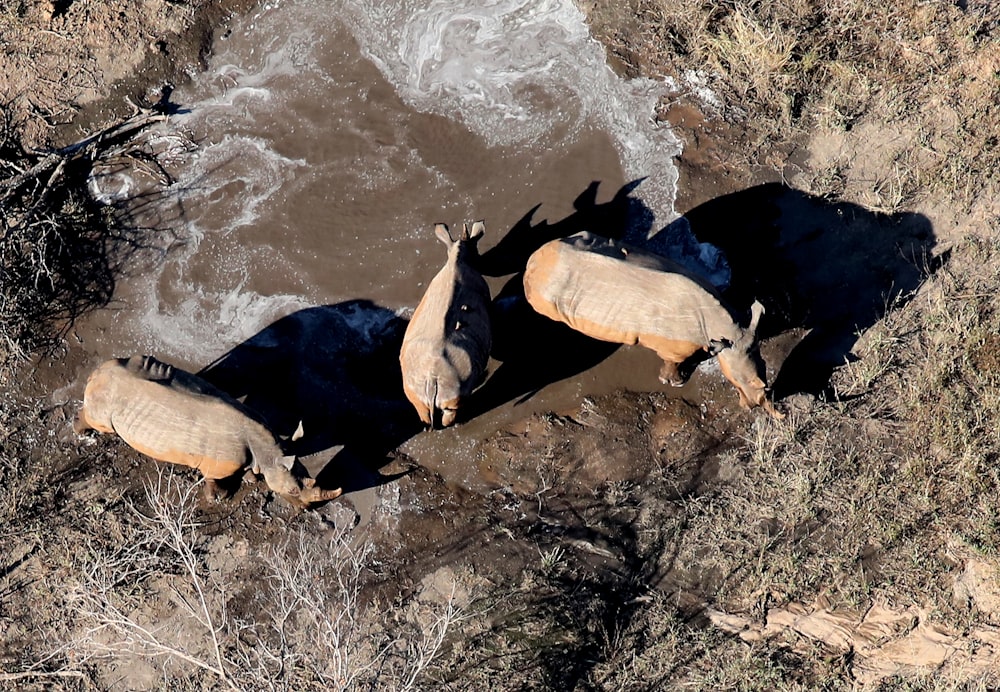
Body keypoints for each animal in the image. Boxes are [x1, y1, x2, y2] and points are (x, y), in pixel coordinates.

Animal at [72, 356, 342, 508]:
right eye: (293, 491)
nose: (306, 510)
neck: (269, 452)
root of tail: (96, 372)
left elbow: (249, 470)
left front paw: (251, 478)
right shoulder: (218, 463)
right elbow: (212, 479)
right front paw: (219, 498)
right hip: (105, 399)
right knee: (99, 420)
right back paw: (84, 434)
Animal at [398, 222, 492, 428]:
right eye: (478, 251)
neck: (458, 258)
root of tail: (433, 379)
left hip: (416, 380)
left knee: (421, 407)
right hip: (455, 383)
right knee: (453, 409)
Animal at [520, 232, 784, 418]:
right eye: (740, 382)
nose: (751, 407)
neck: (725, 329)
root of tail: (532, 260)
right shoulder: (674, 347)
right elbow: (673, 363)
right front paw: (674, 382)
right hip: (544, 289)